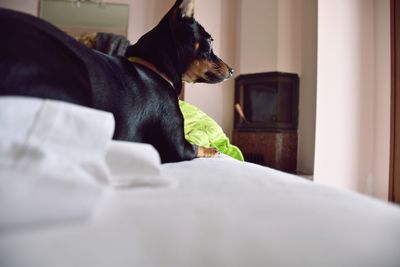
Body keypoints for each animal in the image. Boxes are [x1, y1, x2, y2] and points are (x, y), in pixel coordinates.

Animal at [0, 0, 233, 163]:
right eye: (210, 42)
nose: (232, 70)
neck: (155, 69)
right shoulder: (178, 147)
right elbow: (196, 146)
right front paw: (214, 149)